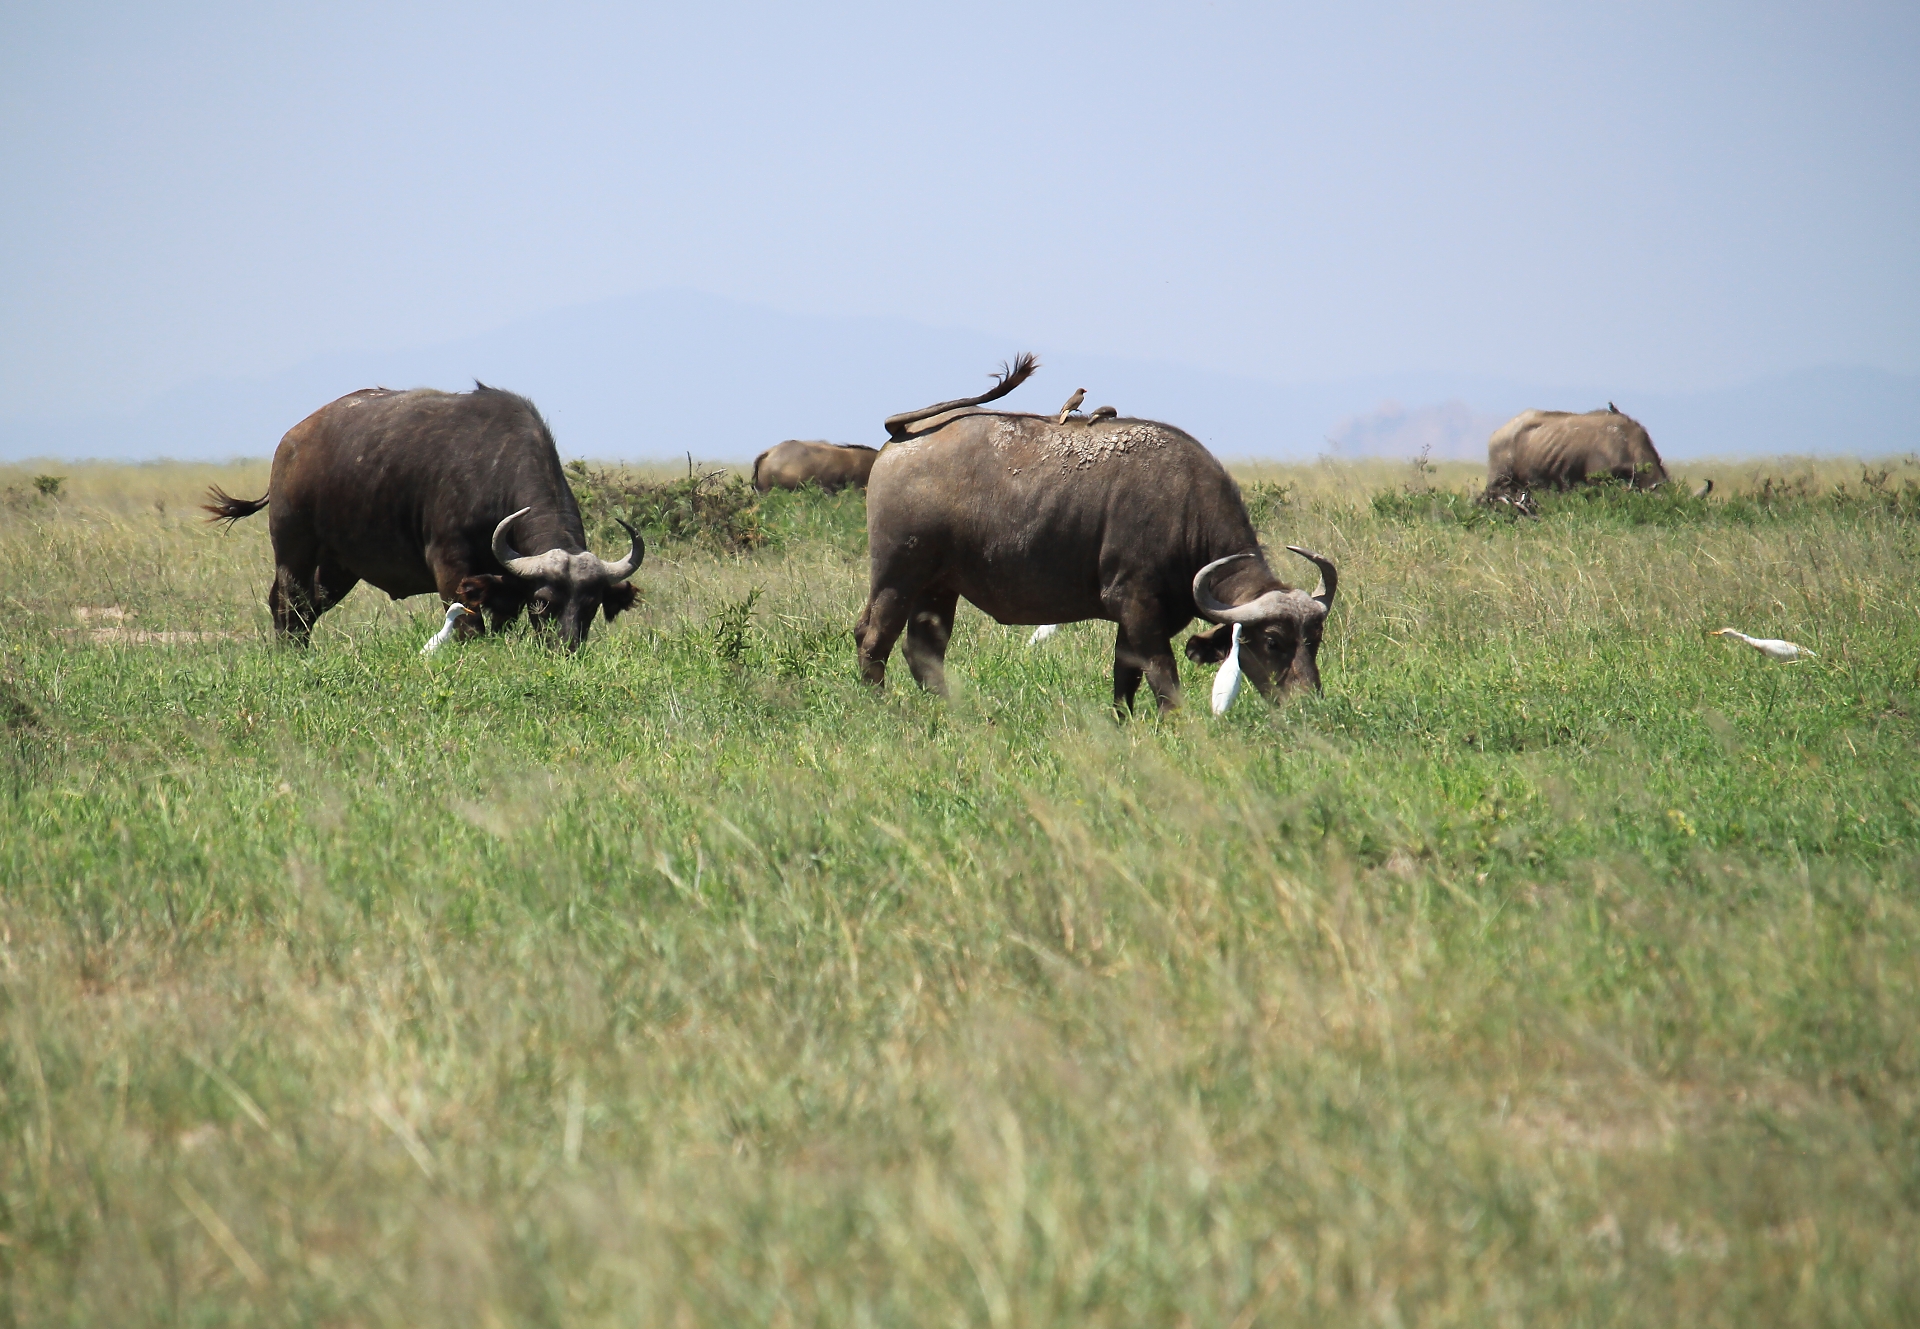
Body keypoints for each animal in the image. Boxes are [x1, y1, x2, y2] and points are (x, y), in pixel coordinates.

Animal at [203, 384, 641, 649]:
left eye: (591, 605)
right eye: (543, 603)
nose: (566, 648)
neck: (493, 476)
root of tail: (292, 441)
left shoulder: (501, 588)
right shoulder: (452, 570)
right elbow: (469, 628)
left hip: (337, 567)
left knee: (307, 606)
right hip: (294, 547)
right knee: (288, 603)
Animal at [856, 355, 1337, 712]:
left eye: (1314, 640)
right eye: (1273, 641)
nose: (1308, 703)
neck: (1185, 513)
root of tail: (906, 434)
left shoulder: (1136, 620)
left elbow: (1125, 679)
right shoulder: (1138, 607)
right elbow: (1164, 677)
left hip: (939, 586)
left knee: (923, 651)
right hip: (897, 576)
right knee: (873, 638)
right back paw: (880, 705)